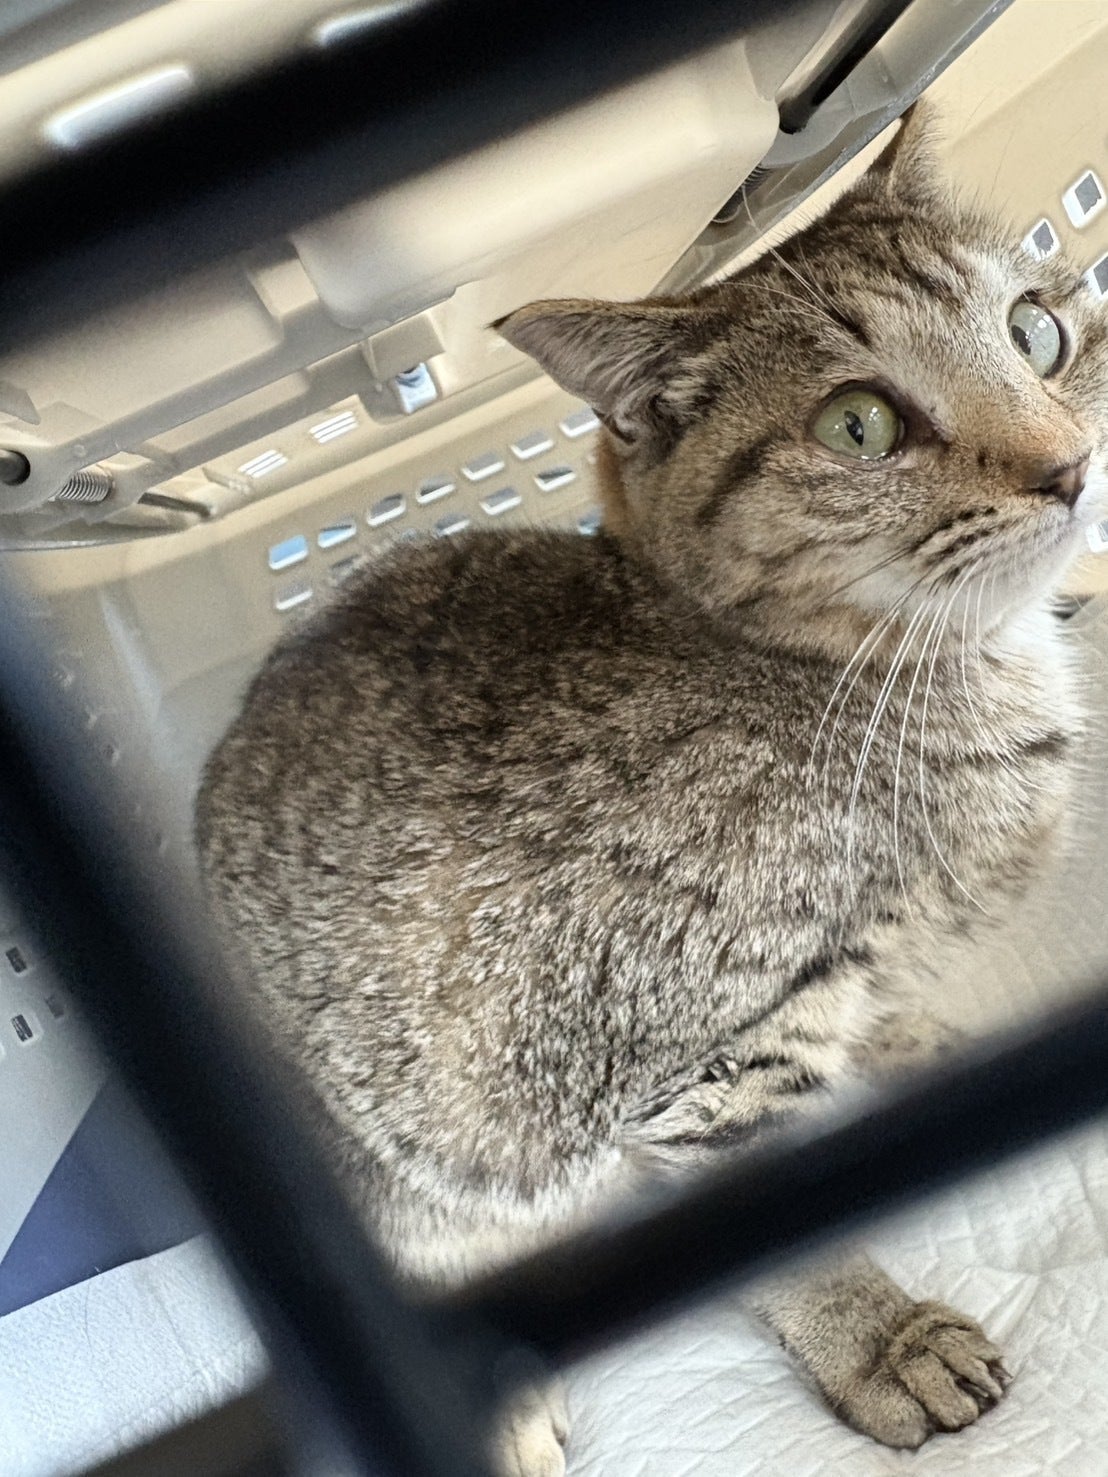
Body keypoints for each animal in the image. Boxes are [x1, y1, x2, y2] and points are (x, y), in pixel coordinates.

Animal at [196, 104, 1107, 1476]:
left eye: (1036, 330)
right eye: (858, 427)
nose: (1070, 467)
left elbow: (877, 1001)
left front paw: (907, 1043)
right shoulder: (689, 1062)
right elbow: (786, 1231)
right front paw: (879, 1339)